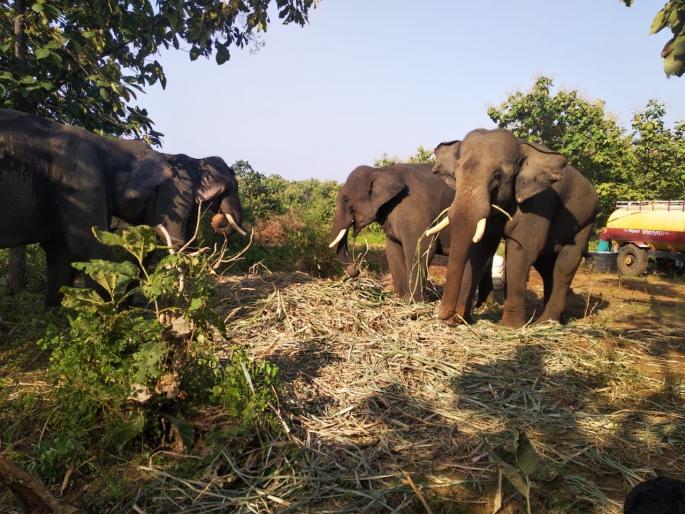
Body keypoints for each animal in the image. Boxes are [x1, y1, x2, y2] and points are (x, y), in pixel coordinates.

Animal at [0, 109, 245, 306]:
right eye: (229, 188)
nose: (220, 221)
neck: (108, 145)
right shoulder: (81, 182)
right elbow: (91, 248)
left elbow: (59, 251)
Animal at [329, 163, 493, 303]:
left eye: (346, 200)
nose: (356, 269)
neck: (382, 171)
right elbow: (393, 250)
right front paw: (402, 300)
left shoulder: (413, 210)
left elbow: (421, 247)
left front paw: (414, 302)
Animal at [430, 128, 598, 327]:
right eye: (455, 175)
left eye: (497, 176)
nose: (443, 316)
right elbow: (480, 251)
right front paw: (461, 320)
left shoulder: (538, 203)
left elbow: (522, 252)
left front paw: (510, 327)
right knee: (547, 267)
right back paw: (558, 321)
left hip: (587, 220)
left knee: (565, 266)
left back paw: (544, 323)